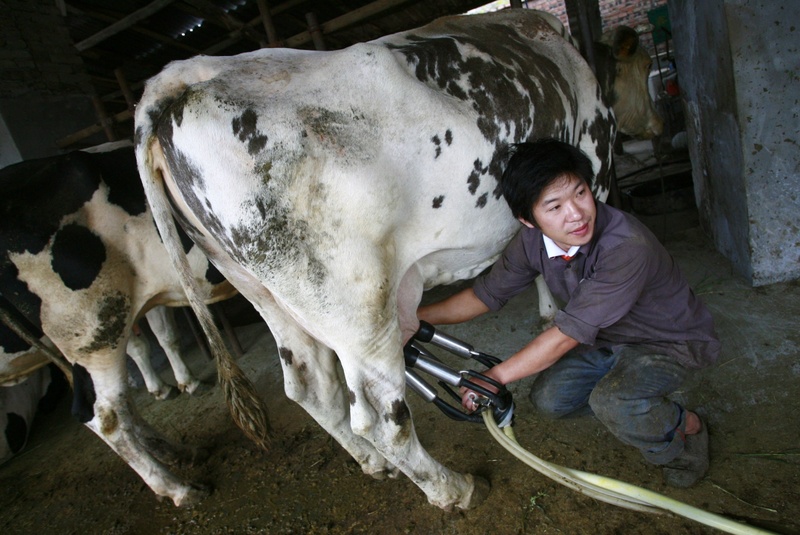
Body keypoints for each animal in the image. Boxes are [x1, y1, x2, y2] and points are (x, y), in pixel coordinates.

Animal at [0, 144, 238, 504]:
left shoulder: (154, 295)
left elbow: (164, 336)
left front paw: (183, 383)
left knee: (120, 404)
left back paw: (179, 453)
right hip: (94, 330)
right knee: (105, 414)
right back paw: (177, 488)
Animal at [134, 9, 664, 510]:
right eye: (643, 65)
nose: (655, 125)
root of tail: (177, 77)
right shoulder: (594, 164)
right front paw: (562, 319)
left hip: (264, 290)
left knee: (310, 386)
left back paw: (375, 465)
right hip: (358, 307)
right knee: (381, 418)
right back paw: (454, 489)